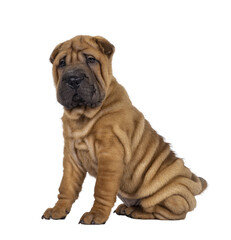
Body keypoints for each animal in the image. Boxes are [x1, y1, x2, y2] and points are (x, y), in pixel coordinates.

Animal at [42, 34, 208, 224]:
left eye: (91, 59)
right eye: (61, 63)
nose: (73, 78)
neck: (83, 115)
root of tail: (194, 182)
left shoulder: (110, 154)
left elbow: (102, 189)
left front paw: (96, 214)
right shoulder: (71, 157)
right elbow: (67, 186)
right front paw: (58, 209)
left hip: (170, 197)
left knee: (169, 212)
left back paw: (136, 212)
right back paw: (127, 207)